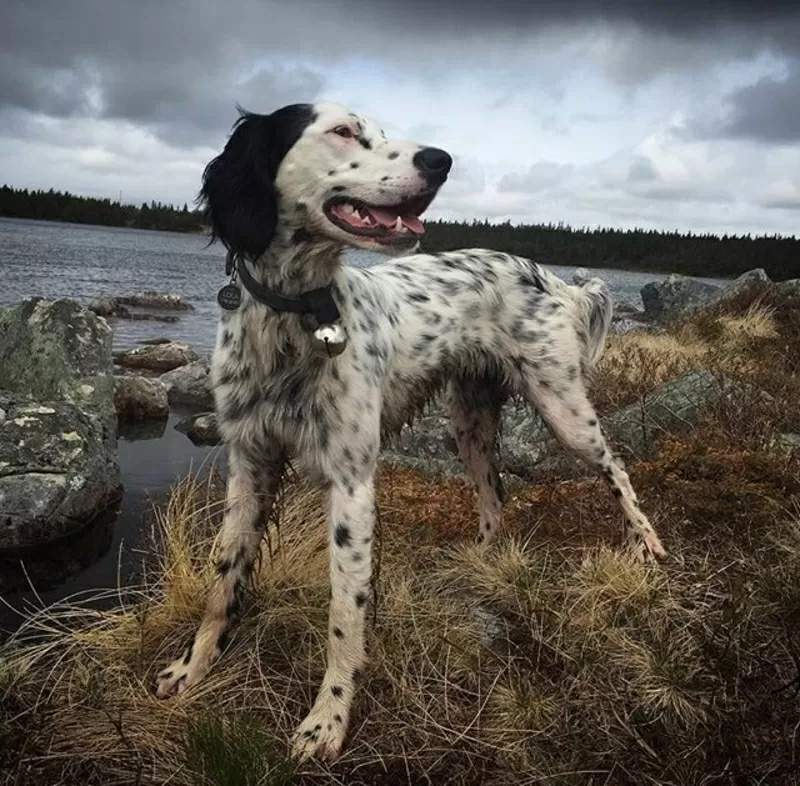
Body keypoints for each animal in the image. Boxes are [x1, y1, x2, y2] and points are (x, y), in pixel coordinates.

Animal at [153, 102, 664, 760]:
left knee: (615, 467)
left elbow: (344, 613)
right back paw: (479, 561)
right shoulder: (248, 463)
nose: (441, 159)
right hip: (468, 421)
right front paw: (193, 668)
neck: (297, 315)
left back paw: (647, 545)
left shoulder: (351, 485)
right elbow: (223, 582)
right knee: (495, 495)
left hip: (563, 407)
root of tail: (547, 276)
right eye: (344, 131)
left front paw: (327, 720)